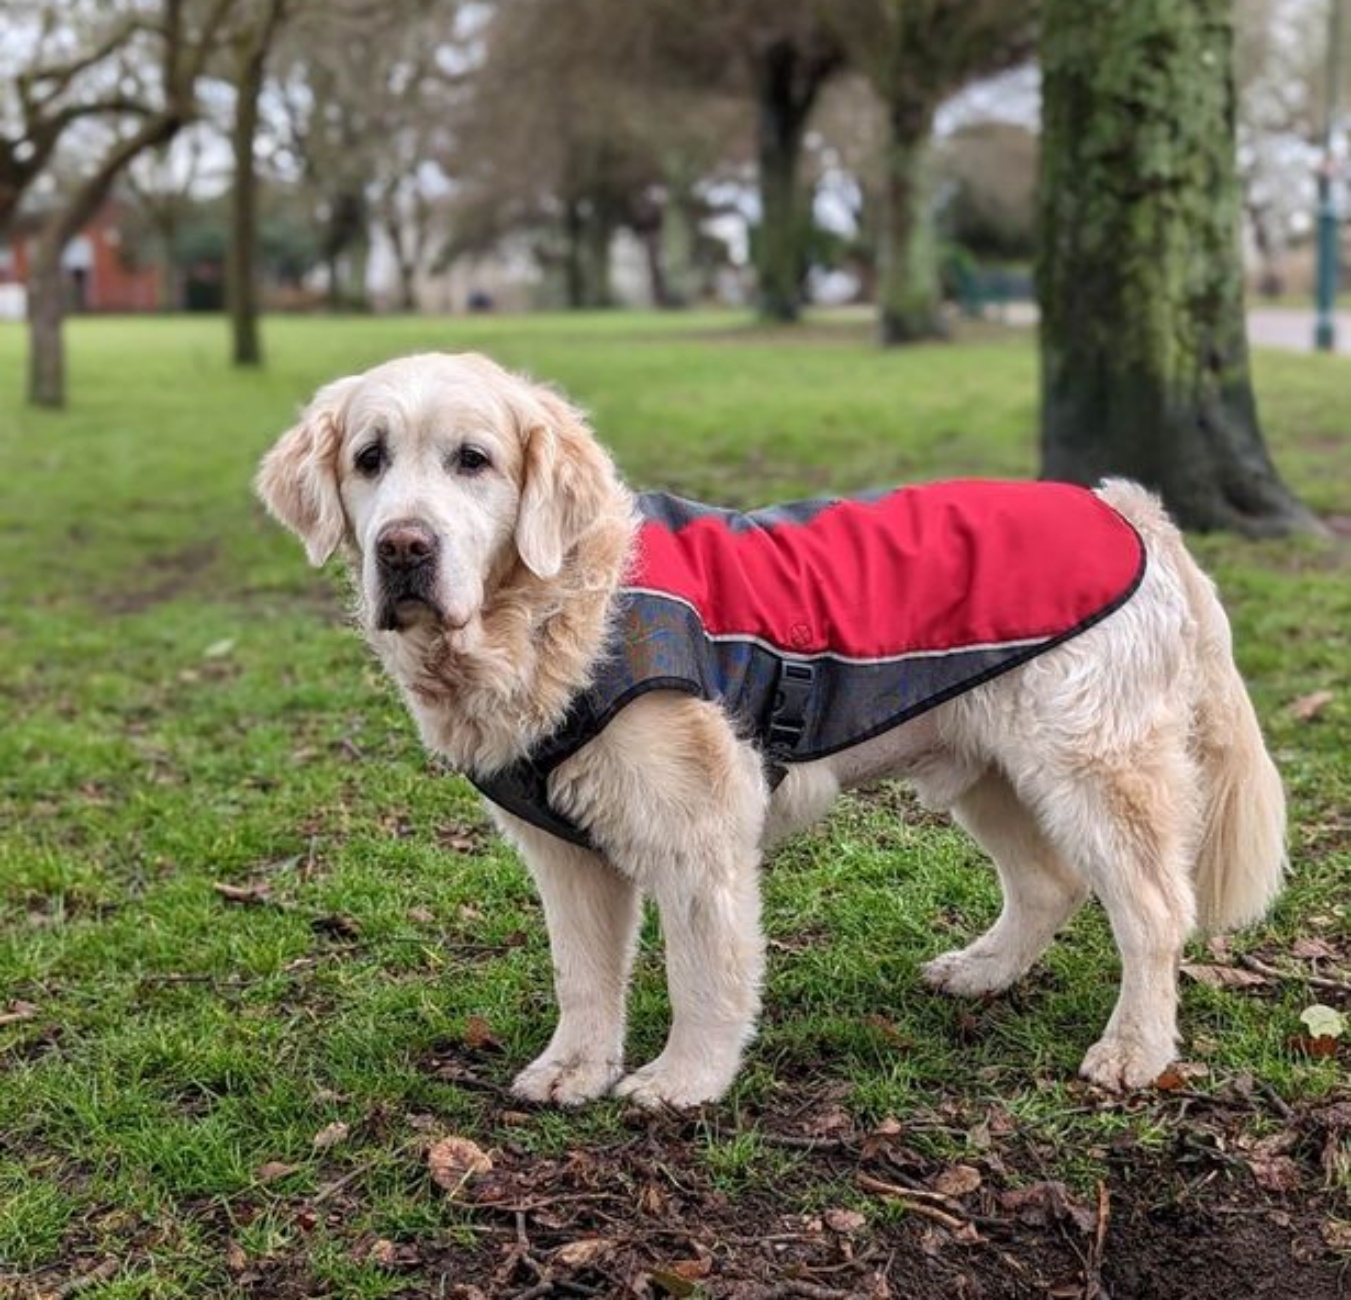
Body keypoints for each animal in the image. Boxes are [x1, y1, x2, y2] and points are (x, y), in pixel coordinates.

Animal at [255, 345, 1286, 1102]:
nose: (403, 548)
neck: (561, 614)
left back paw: (1135, 1049)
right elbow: (582, 977)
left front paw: (683, 1080)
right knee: (1047, 884)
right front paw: (574, 1069)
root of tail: (1128, 507)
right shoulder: (565, 854)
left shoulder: (697, 832)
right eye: (369, 460)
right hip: (985, 767)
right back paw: (985, 972)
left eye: (473, 460)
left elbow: (702, 975)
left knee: (1152, 910)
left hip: (1090, 769)